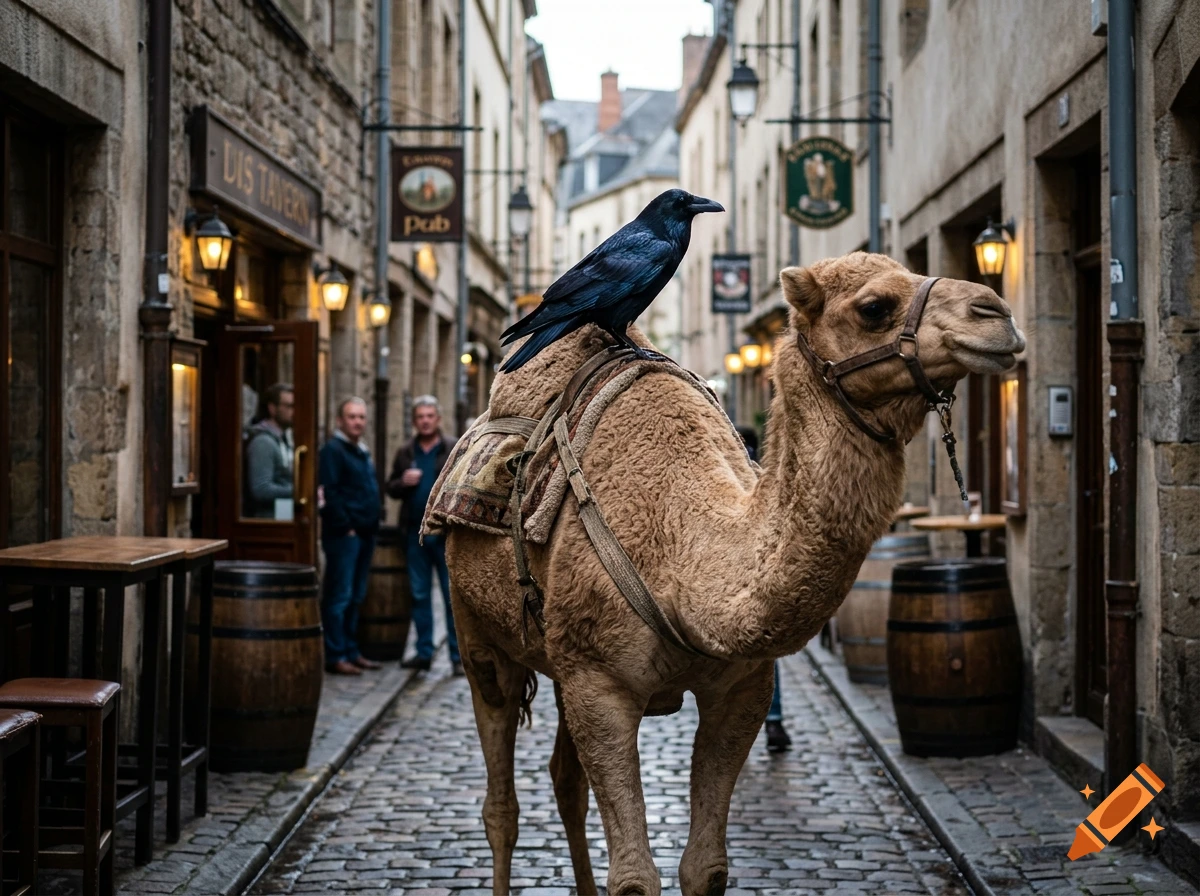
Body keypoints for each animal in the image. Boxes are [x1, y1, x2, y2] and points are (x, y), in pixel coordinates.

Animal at [442, 252, 1025, 895]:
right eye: (874, 307)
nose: (995, 312)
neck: (683, 548)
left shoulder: (741, 687)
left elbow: (706, 867)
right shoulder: (599, 685)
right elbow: (635, 878)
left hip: (558, 658)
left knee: (564, 781)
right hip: (480, 639)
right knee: (501, 803)